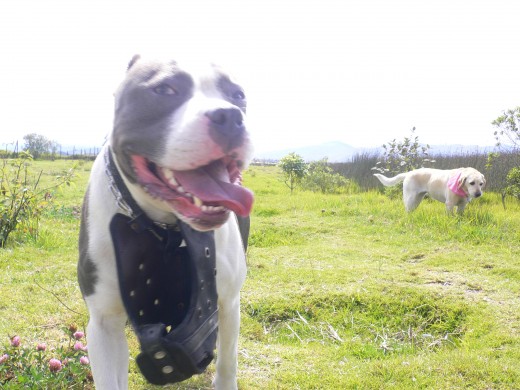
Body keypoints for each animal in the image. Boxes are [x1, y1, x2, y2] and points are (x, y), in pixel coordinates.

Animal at [77, 55, 254, 390]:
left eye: (238, 95)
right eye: (164, 89)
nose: (230, 116)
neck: (167, 226)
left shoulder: (228, 302)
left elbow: (227, 365)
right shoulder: (104, 324)